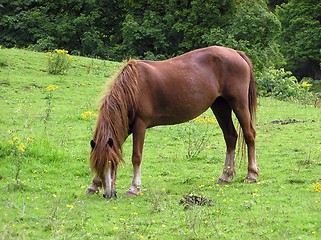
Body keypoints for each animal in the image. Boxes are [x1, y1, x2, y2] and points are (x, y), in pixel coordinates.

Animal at [86, 45, 258, 199]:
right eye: (98, 165)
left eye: (113, 163)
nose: (108, 194)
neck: (133, 87)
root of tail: (236, 53)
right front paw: (94, 185)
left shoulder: (139, 125)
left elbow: (136, 156)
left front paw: (134, 188)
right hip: (220, 106)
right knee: (230, 137)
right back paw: (226, 176)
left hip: (238, 104)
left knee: (249, 135)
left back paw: (252, 174)